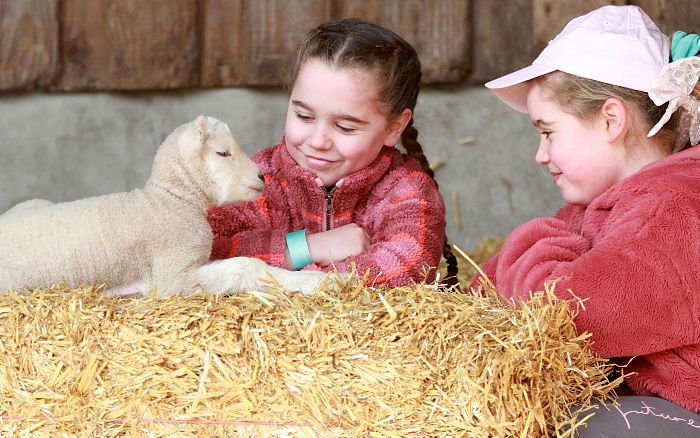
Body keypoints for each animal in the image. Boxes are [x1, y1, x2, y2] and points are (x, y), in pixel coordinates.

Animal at [0, 114, 334, 296]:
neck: (168, 203)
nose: (261, 176)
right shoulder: (173, 277)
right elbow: (246, 266)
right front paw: (320, 281)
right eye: (223, 153)